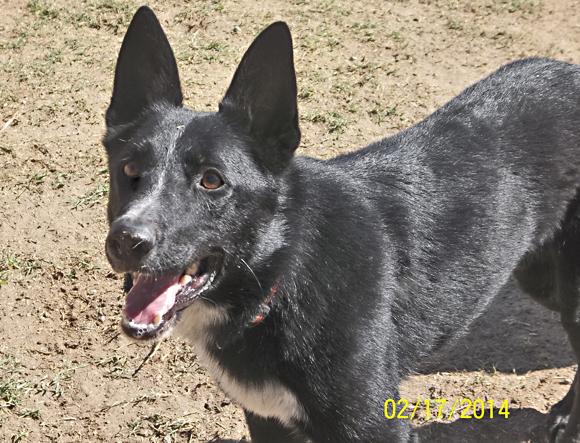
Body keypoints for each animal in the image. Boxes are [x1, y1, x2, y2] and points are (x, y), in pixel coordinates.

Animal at [102, 6, 580, 443]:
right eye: (129, 170)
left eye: (212, 180)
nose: (126, 241)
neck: (283, 273)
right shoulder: (268, 419)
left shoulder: (378, 425)